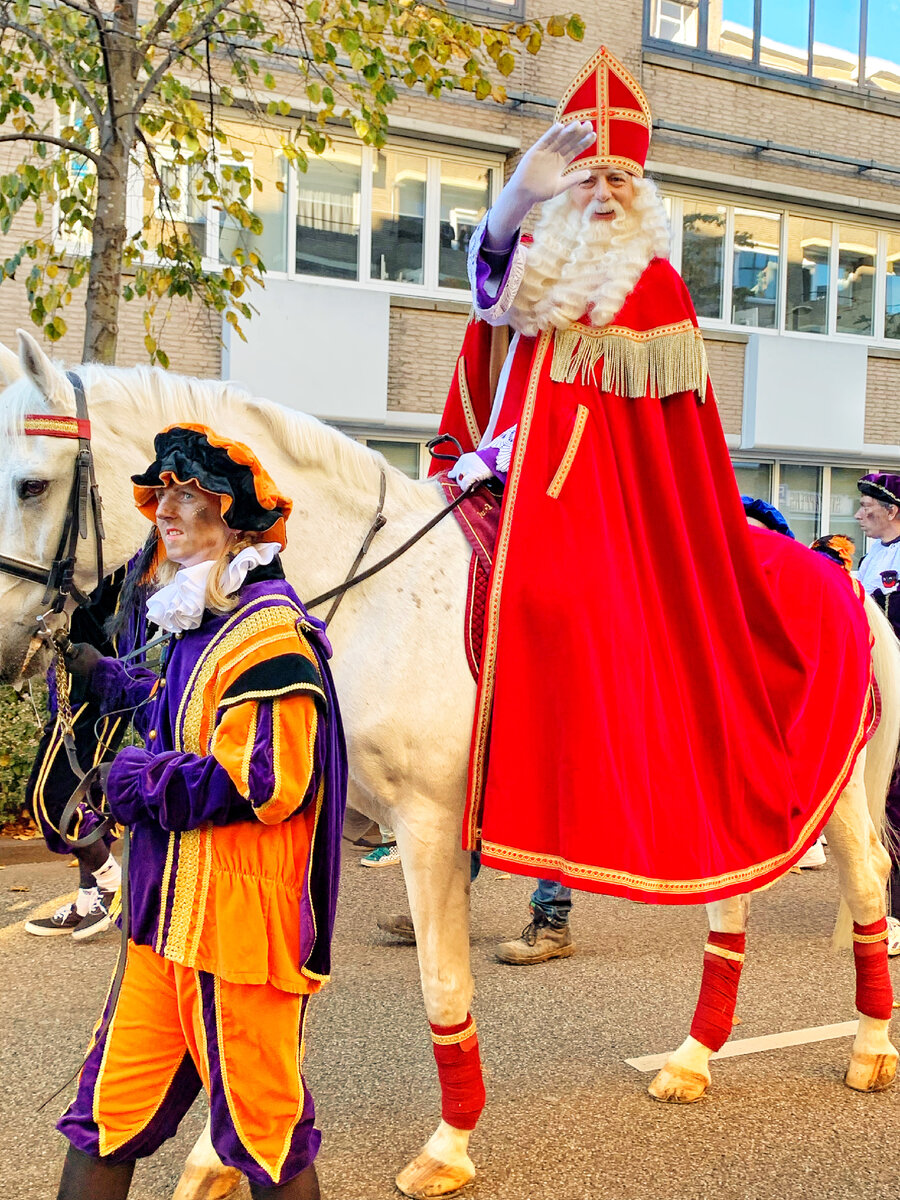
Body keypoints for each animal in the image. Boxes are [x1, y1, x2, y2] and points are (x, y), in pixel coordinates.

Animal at [0, 331, 897, 1200]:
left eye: (31, 485)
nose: (14, 650)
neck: (362, 597)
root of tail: (838, 575)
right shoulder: (321, 815)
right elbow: (280, 976)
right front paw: (221, 1157)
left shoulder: (427, 825)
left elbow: (443, 984)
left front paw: (448, 1147)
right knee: (729, 905)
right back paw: (692, 1059)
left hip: (836, 795)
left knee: (865, 890)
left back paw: (870, 1048)